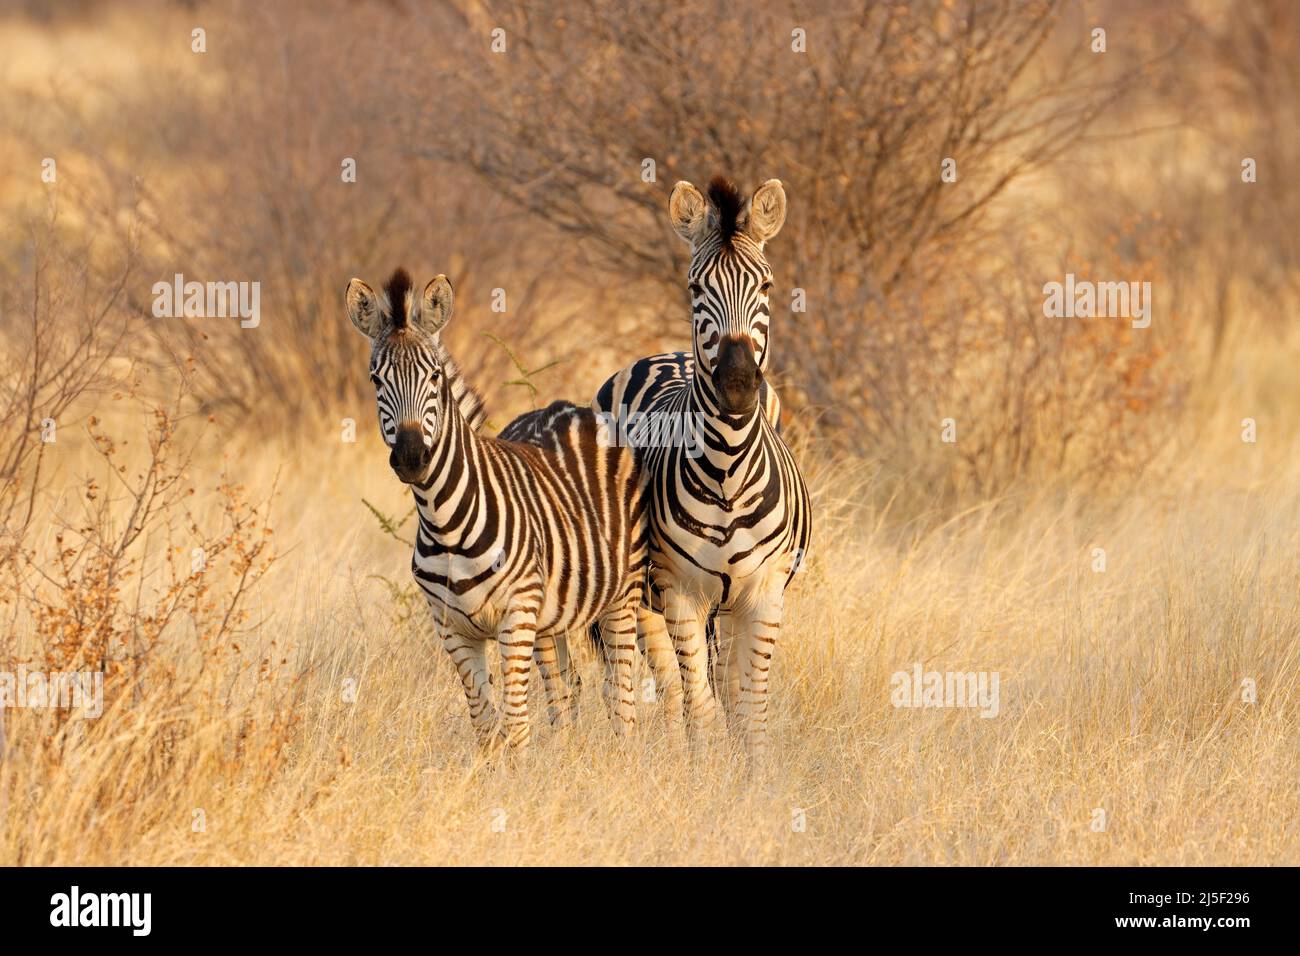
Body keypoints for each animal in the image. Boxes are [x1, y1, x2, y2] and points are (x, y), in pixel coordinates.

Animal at [347, 268, 648, 748]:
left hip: (623, 593)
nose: (411, 457)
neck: (445, 523)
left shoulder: (516, 616)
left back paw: (624, 754)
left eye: (435, 376)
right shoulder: (453, 629)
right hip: (551, 618)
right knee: (566, 691)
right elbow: (486, 726)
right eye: (376, 380)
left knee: (620, 693)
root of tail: (573, 408)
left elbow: (517, 724)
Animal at [590, 177, 812, 755]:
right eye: (695, 288)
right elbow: (701, 707)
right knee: (669, 689)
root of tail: (666, 353)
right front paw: (705, 771)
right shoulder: (679, 590)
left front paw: (751, 773)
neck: (728, 469)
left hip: (729, 605)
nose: (736, 385)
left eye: (768, 286)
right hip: (644, 594)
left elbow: (749, 711)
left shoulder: (764, 592)